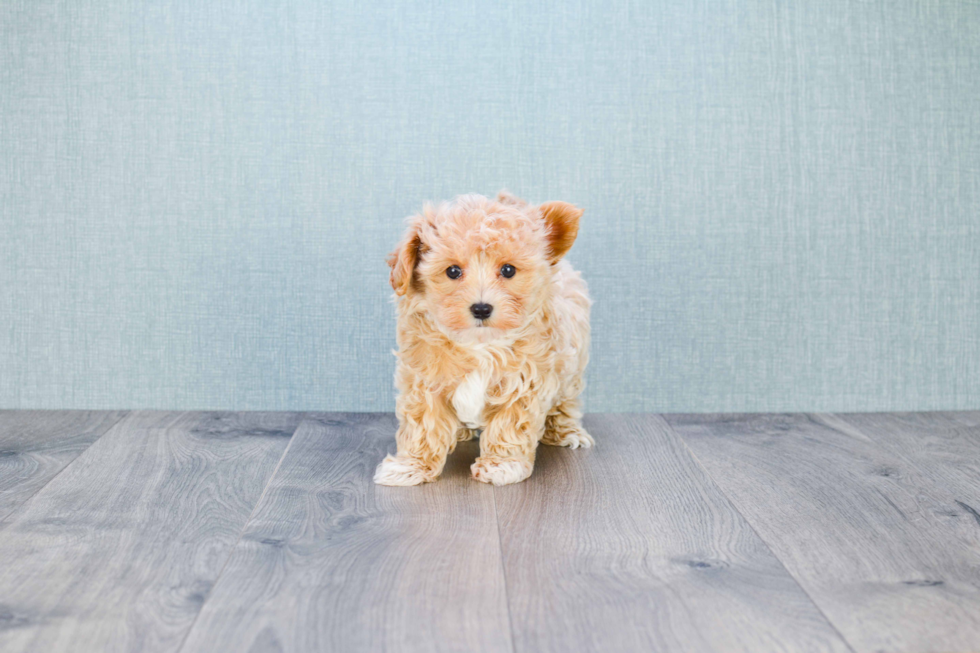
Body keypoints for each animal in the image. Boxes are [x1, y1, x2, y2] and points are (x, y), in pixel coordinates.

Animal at [374, 188, 588, 484]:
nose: (482, 308)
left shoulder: (526, 382)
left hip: (570, 372)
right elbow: (423, 425)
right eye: (453, 271)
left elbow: (510, 423)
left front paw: (502, 465)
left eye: (508, 270)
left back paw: (567, 432)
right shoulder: (424, 379)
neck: (480, 344)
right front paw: (411, 466)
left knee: (566, 404)